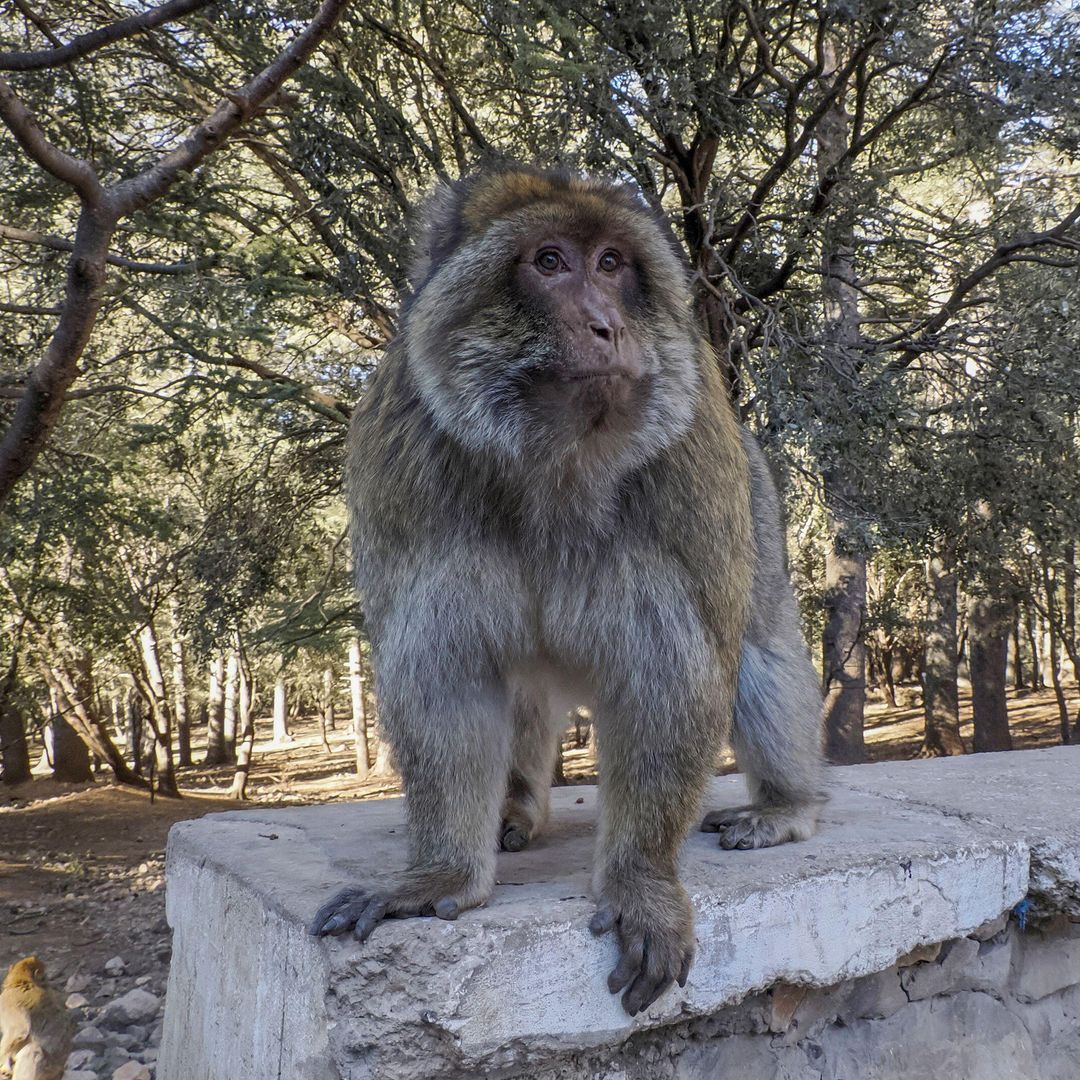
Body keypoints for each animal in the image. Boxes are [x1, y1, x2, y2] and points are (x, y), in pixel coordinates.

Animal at [313, 164, 825, 1015]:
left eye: (613, 263)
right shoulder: (399, 460)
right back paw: (516, 807)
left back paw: (788, 806)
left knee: (756, 650)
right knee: (521, 695)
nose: (607, 326)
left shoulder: (692, 461)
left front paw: (641, 882)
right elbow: (444, 674)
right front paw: (437, 872)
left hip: (753, 507)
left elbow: (674, 674)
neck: (554, 457)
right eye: (549, 262)